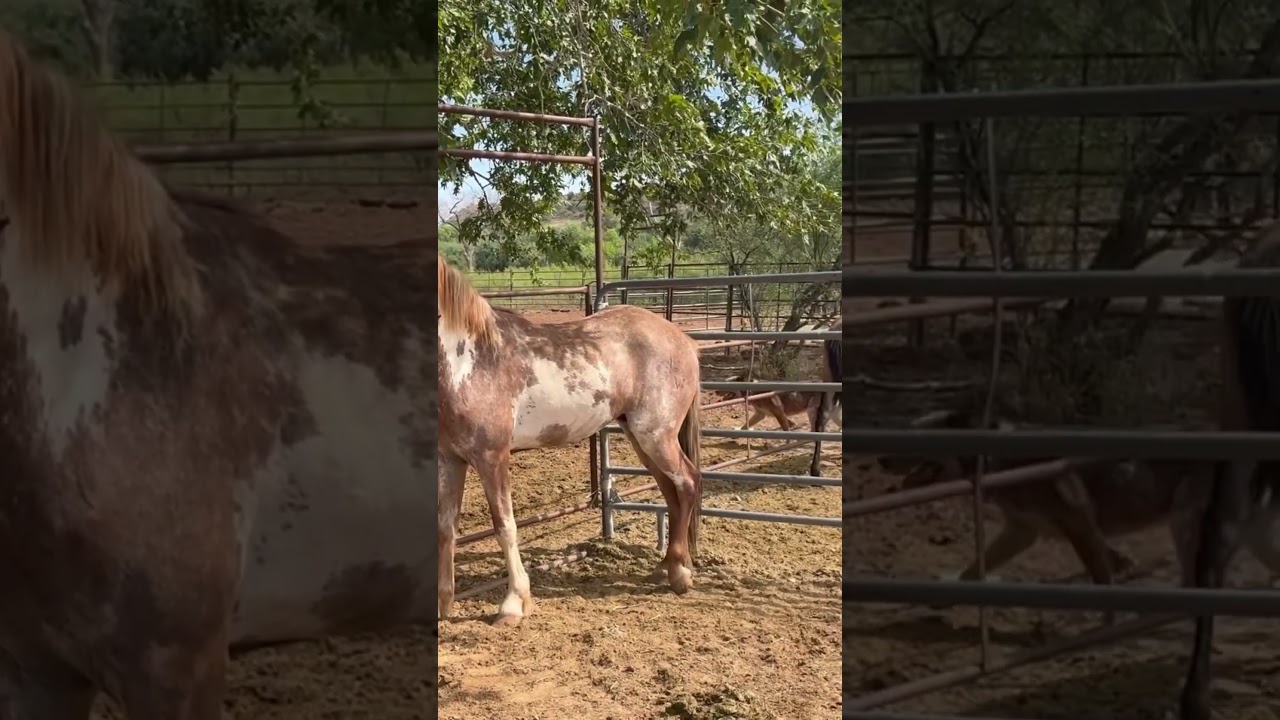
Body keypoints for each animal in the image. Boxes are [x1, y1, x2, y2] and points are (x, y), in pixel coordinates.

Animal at [436, 258, 704, 626]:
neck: (469, 360)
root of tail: (684, 340)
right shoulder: (450, 459)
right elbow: (446, 529)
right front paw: (442, 605)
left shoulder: (492, 457)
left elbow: (505, 527)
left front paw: (514, 604)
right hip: (642, 439)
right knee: (672, 493)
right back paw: (667, 567)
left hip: (656, 435)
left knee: (689, 482)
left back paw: (679, 575)